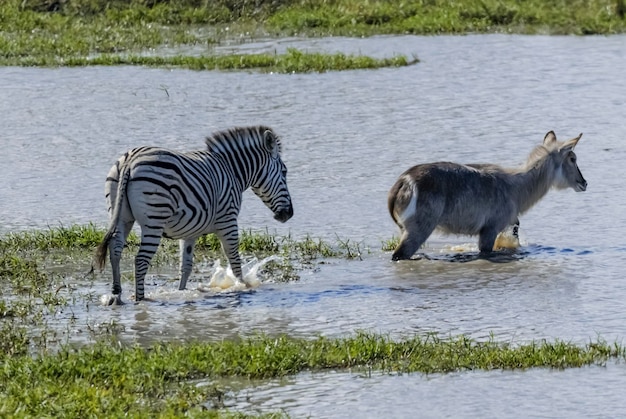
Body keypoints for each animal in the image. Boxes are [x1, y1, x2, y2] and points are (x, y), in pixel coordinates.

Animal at [94, 124, 292, 306]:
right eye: (284, 172)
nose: (289, 214)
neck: (233, 172)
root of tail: (129, 161)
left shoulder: (189, 231)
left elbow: (186, 266)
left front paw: (182, 292)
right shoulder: (228, 221)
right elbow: (234, 260)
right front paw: (243, 286)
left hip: (122, 216)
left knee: (115, 249)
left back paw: (116, 295)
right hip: (154, 220)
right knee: (141, 260)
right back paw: (140, 299)